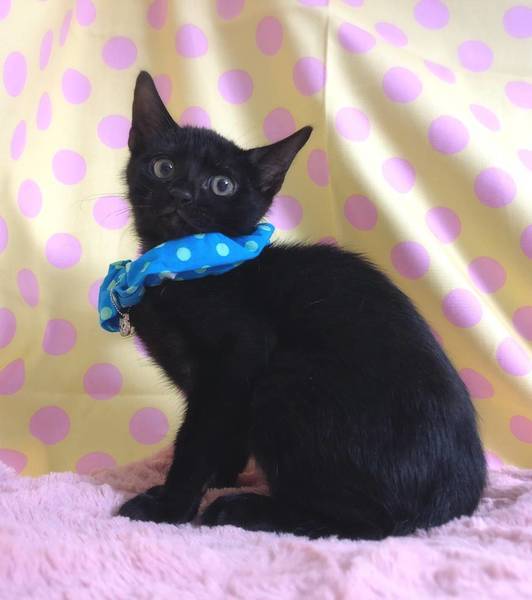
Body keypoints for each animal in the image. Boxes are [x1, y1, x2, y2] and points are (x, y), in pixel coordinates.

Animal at [117, 71, 486, 539]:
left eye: (223, 185)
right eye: (164, 166)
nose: (181, 193)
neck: (186, 267)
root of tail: (458, 500)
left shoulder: (239, 353)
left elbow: (197, 437)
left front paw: (170, 505)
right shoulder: (222, 385)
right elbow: (224, 434)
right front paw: (219, 477)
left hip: (284, 380)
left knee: (372, 522)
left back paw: (245, 510)